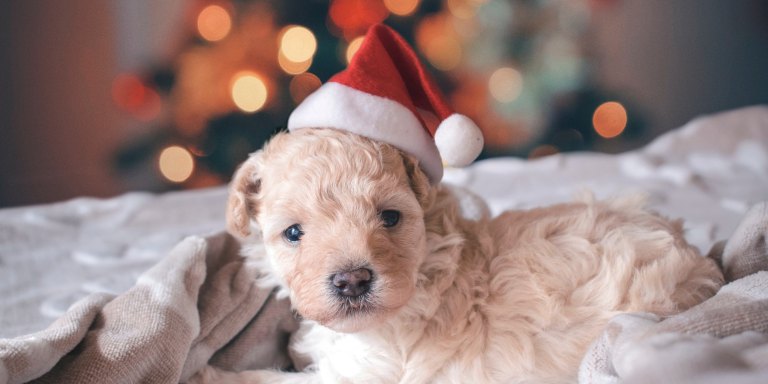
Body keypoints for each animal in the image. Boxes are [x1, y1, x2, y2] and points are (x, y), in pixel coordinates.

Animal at [195, 127, 724, 382]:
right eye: (293, 233)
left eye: (390, 218)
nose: (352, 281)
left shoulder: (365, 377)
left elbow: (267, 381)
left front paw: (209, 372)